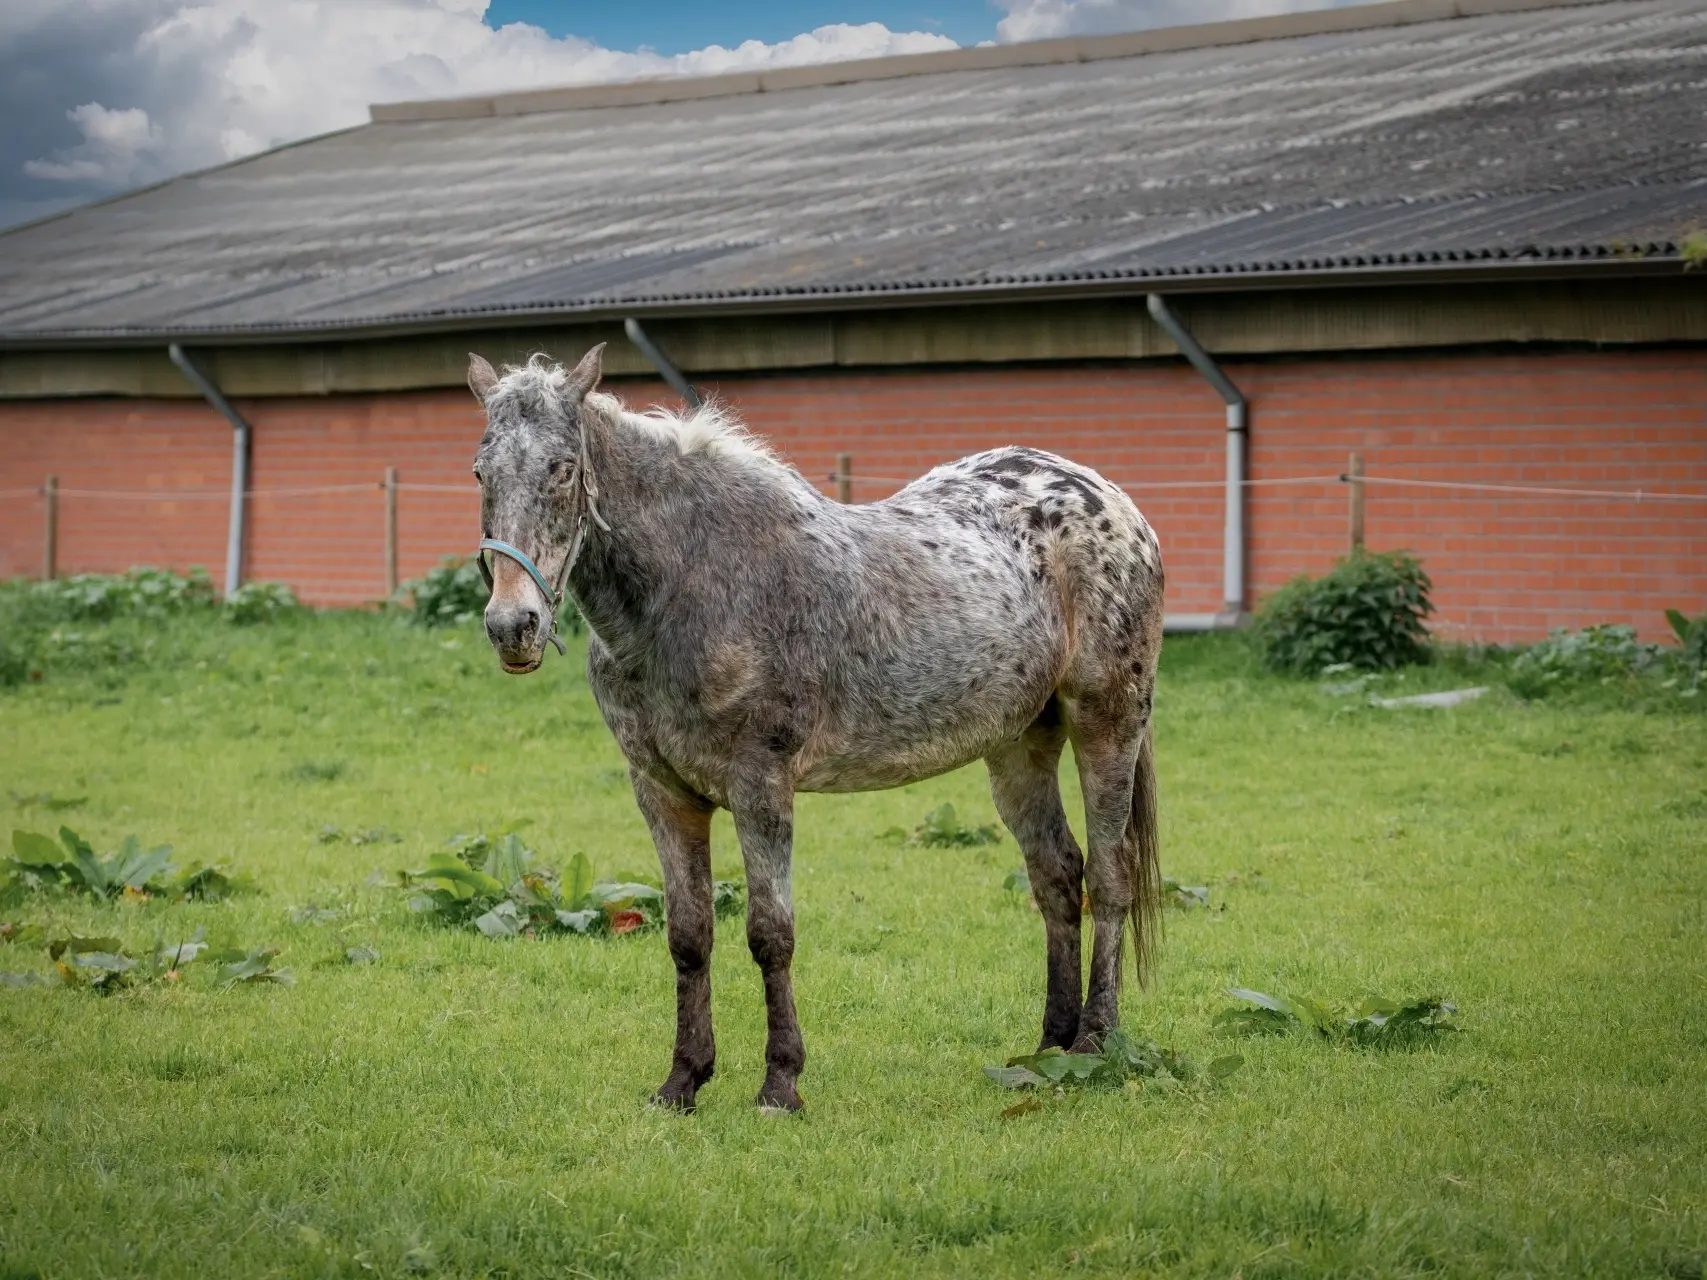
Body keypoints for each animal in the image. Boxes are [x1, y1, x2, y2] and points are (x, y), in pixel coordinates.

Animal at [467, 343, 1160, 1112]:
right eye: (481, 472)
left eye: (562, 468)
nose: (512, 625)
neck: (696, 583)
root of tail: (1110, 498)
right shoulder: (662, 792)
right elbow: (688, 935)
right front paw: (682, 1080)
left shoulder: (761, 784)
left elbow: (771, 934)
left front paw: (780, 1083)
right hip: (1018, 746)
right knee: (1057, 875)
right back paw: (1049, 1046)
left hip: (1108, 722)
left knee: (1110, 875)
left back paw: (1095, 1040)